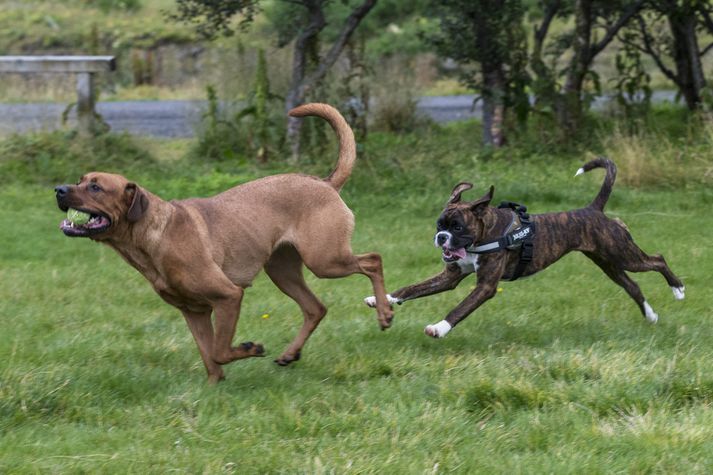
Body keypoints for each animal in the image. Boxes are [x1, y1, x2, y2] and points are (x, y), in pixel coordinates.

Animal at [55, 103, 394, 384]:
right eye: (80, 179)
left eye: (96, 187)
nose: (58, 189)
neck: (156, 235)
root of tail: (326, 183)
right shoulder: (194, 312)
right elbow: (210, 356)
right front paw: (214, 387)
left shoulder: (228, 297)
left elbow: (219, 349)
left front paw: (250, 348)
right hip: (283, 270)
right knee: (316, 308)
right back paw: (290, 353)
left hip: (325, 260)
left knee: (373, 260)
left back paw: (385, 312)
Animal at [368, 160, 684, 338]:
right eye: (439, 224)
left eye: (457, 227)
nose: (441, 238)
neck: (484, 234)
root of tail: (593, 210)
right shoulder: (450, 277)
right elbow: (412, 288)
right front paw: (380, 298)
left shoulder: (485, 287)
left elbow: (459, 308)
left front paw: (439, 328)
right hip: (609, 263)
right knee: (633, 286)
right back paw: (651, 316)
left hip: (624, 254)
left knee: (657, 259)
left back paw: (678, 289)